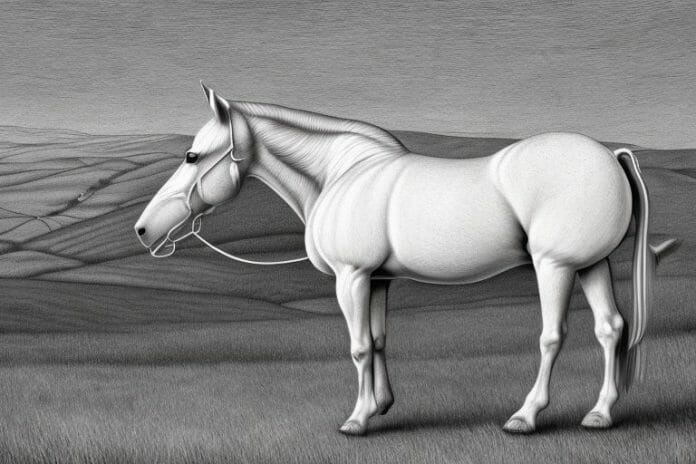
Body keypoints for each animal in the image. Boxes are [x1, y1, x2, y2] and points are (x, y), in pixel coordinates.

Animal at [134, 83, 677, 436]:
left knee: (552, 336)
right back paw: (601, 414)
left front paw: (356, 420)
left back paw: (525, 417)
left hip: (555, 268)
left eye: (191, 156)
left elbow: (357, 346)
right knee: (610, 329)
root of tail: (610, 156)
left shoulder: (351, 278)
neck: (341, 175)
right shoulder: (376, 280)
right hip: (590, 265)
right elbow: (377, 340)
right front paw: (381, 406)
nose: (143, 230)